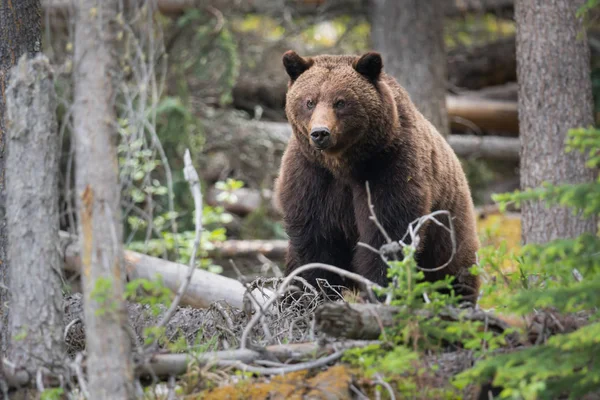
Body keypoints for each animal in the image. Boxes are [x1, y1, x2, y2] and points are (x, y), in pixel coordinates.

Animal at [274, 50, 480, 304]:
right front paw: (313, 291)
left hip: (449, 230)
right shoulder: (311, 175)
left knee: (454, 275)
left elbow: (386, 234)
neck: (343, 165)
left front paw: (381, 291)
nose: (320, 133)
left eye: (340, 101)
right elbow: (316, 239)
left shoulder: (389, 168)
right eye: (309, 101)